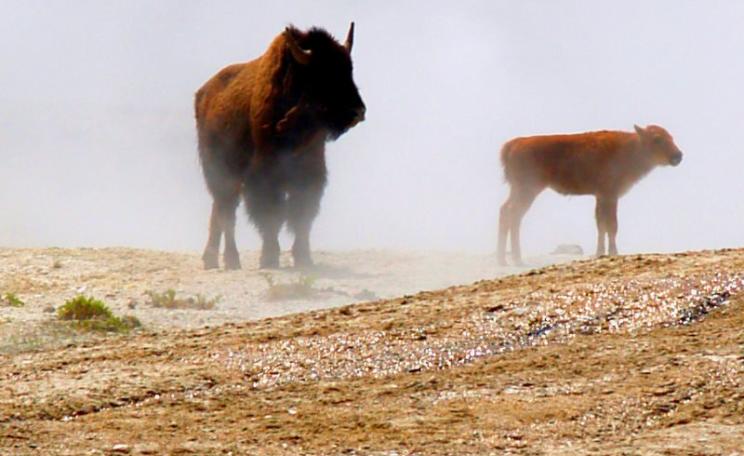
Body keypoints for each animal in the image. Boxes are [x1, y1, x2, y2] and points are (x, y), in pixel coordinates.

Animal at [195, 23, 365, 269]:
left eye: (349, 69)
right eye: (323, 73)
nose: (357, 112)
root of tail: (202, 94)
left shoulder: (310, 172)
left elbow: (301, 215)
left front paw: (304, 258)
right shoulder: (264, 175)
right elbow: (272, 215)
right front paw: (269, 258)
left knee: (219, 210)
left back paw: (212, 260)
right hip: (221, 173)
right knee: (226, 212)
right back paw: (231, 260)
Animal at [497, 125, 683, 266]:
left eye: (671, 136)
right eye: (657, 139)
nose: (678, 155)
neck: (630, 148)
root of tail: (514, 144)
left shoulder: (600, 196)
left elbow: (601, 225)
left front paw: (600, 252)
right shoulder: (610, 195)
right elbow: (611, 225)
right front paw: (613, 252)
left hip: (519, 190)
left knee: (505, 211)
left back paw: (504, 260)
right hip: (528, 189)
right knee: (514, 214)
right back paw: (517, 260)